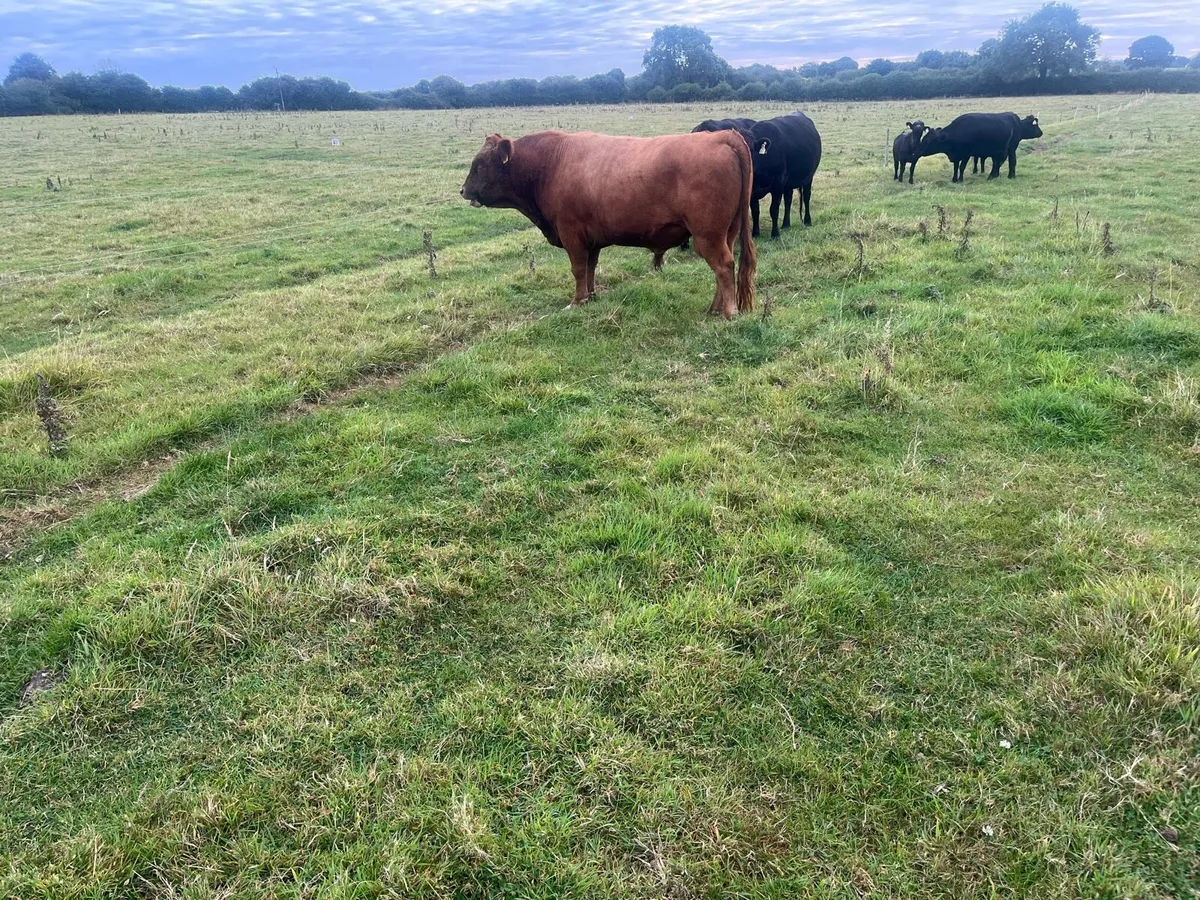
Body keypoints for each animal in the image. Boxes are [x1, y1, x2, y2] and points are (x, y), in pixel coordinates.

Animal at [460, 130, 757, 317]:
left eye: (479, 165)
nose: (463, 190)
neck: (551, 163)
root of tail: (722, 135)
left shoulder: (571, 234)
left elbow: (578, 269)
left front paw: (576, 301)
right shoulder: (591, 239)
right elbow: (590, 269)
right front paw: (590, 297)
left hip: (708, 235)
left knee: (723, 266)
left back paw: (728, 312)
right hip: (726, 233)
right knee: (723, 267)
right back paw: (714, 308)